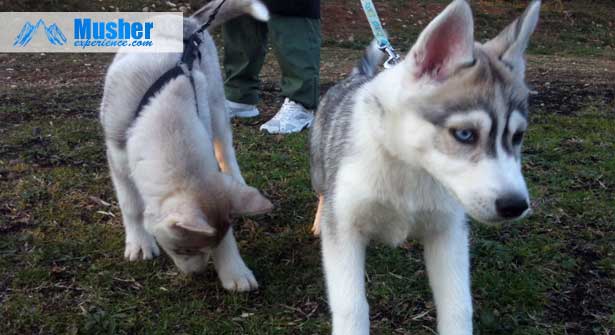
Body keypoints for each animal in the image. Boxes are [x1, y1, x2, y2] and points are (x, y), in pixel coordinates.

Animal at [101, 0, 272, 292]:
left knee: (226, 148)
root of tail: (188, 22)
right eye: (183, 250)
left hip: (216, 106)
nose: (197, 273)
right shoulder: (118, 157)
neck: (164, 111)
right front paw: (139, 242)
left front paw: (233, 269)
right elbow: (131, 206)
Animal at [310, 0, 540, 334]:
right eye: (465, 134)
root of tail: (355, 77)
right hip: (319, 171)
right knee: (322, 193)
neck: (409, 167)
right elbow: (351, 307)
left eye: (517, 136)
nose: (515, 205)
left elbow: (458, 307)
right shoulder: (344, 229)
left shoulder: (449, 233)